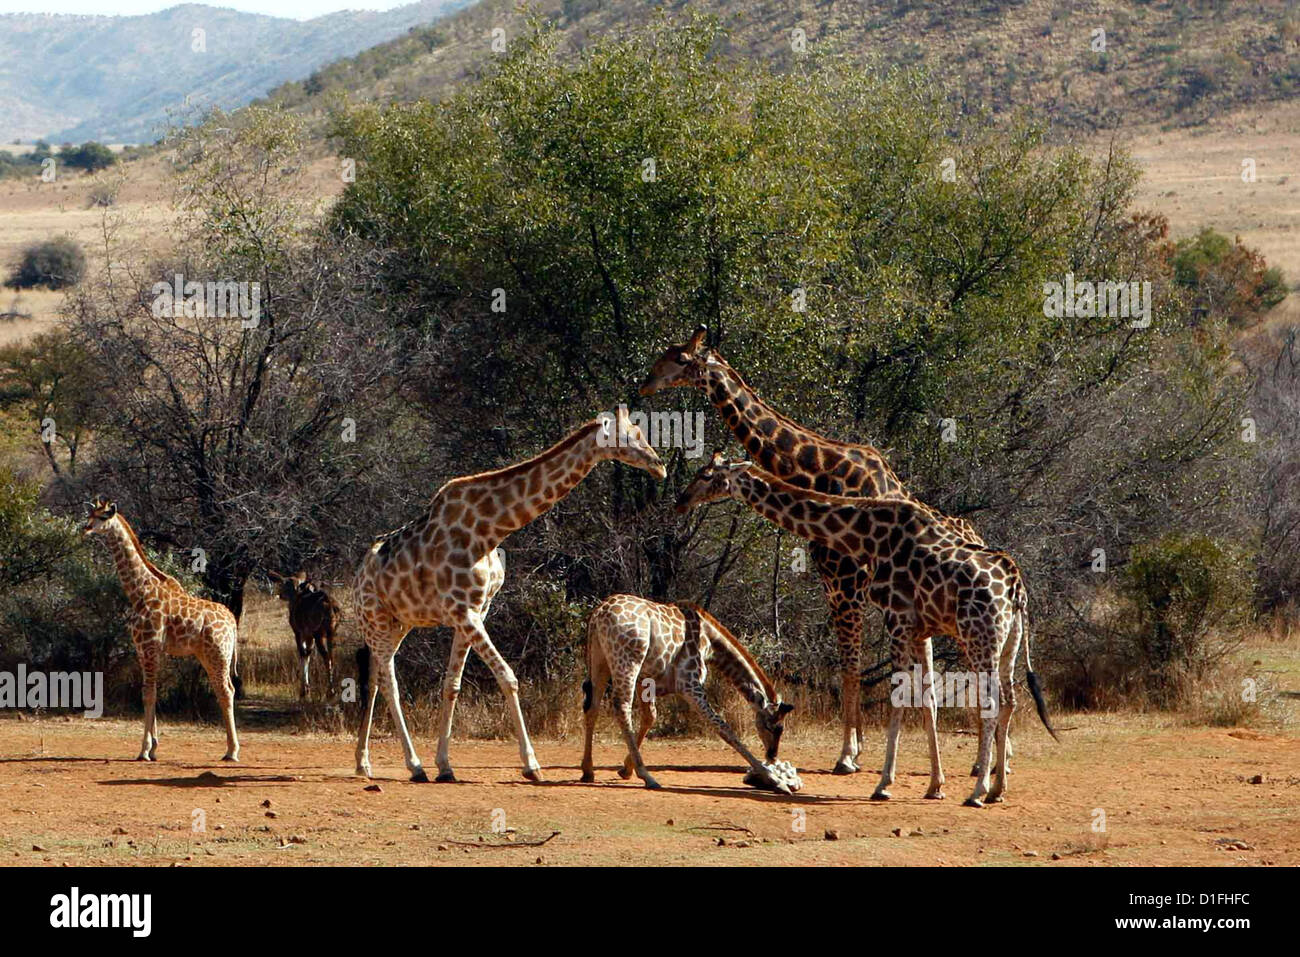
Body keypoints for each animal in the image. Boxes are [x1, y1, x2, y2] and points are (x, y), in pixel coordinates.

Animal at [82, 501, 243, 764]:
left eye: (102, 516)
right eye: (90, 514)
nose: (85, 529)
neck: (139, 592)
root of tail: (233, 623)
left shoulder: (149, 645)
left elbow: (148, 694)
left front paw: (144, 750)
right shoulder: (144, 648)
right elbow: (150, 691)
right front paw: (154, 747)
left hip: (217, 654)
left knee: (226, 691)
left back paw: (232, 751)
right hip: (210, 655)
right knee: (227, 688)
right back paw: (230, 749)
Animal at [351, 408, 665, 780]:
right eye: (630, 435)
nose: (659, 465)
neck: (488, 530)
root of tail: (357, 577)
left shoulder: (477, 609)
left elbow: (451, 686)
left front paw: (445, 765)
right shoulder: (463, 611)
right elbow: (508, 677)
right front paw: (531, 765)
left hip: (398, 623)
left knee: (374, 679)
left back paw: (363, 763)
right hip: (375, 618)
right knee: (390, 684)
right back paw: (413, 766)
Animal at [579, 598, 790, 790]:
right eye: (775, 727)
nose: (772, 755)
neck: (710, 643)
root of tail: (598, 613)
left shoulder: (646, 679)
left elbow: (650, 717)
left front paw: (625, 769)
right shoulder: (689, 683)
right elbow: (723, 727)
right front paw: (773, 779)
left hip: (600, 660)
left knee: (592, 707)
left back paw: (588, 771)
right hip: (628, 661)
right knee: (621, 707)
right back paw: (648, 776)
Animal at [639, 325, 982, 774]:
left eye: (679, 358)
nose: (644, 384)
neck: (817, 471)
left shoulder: (848, 586)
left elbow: (851, 667)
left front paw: (847, 755)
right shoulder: (833, 586)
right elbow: (849, 665)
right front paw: (857, 748)